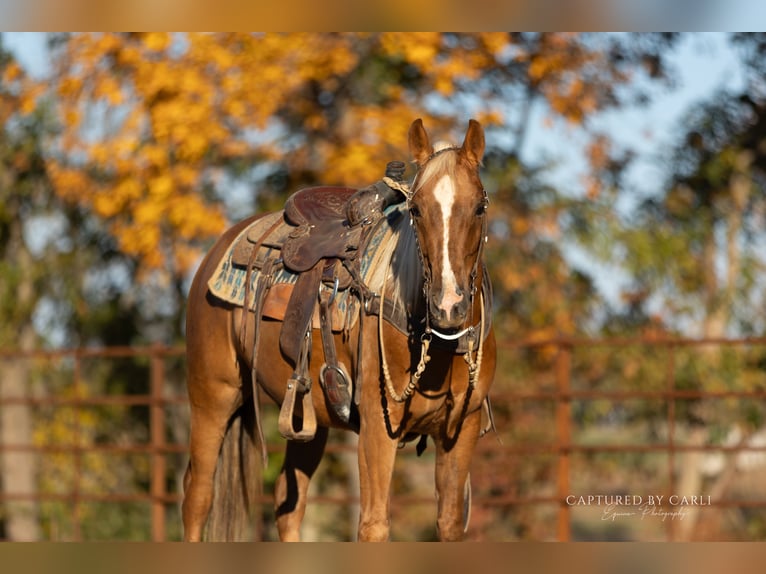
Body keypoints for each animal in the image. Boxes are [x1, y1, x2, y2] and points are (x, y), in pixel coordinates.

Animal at [181, 118, 496, 541]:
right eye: (415, 208)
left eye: (480, 206)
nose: (448, 305)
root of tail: (219, 249)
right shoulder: (379, 427)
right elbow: (374, 524)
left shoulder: (462, 429)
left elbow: (448, 523)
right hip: (212, 397)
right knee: (198, 497)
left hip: (306, 416)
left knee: (288, 503)